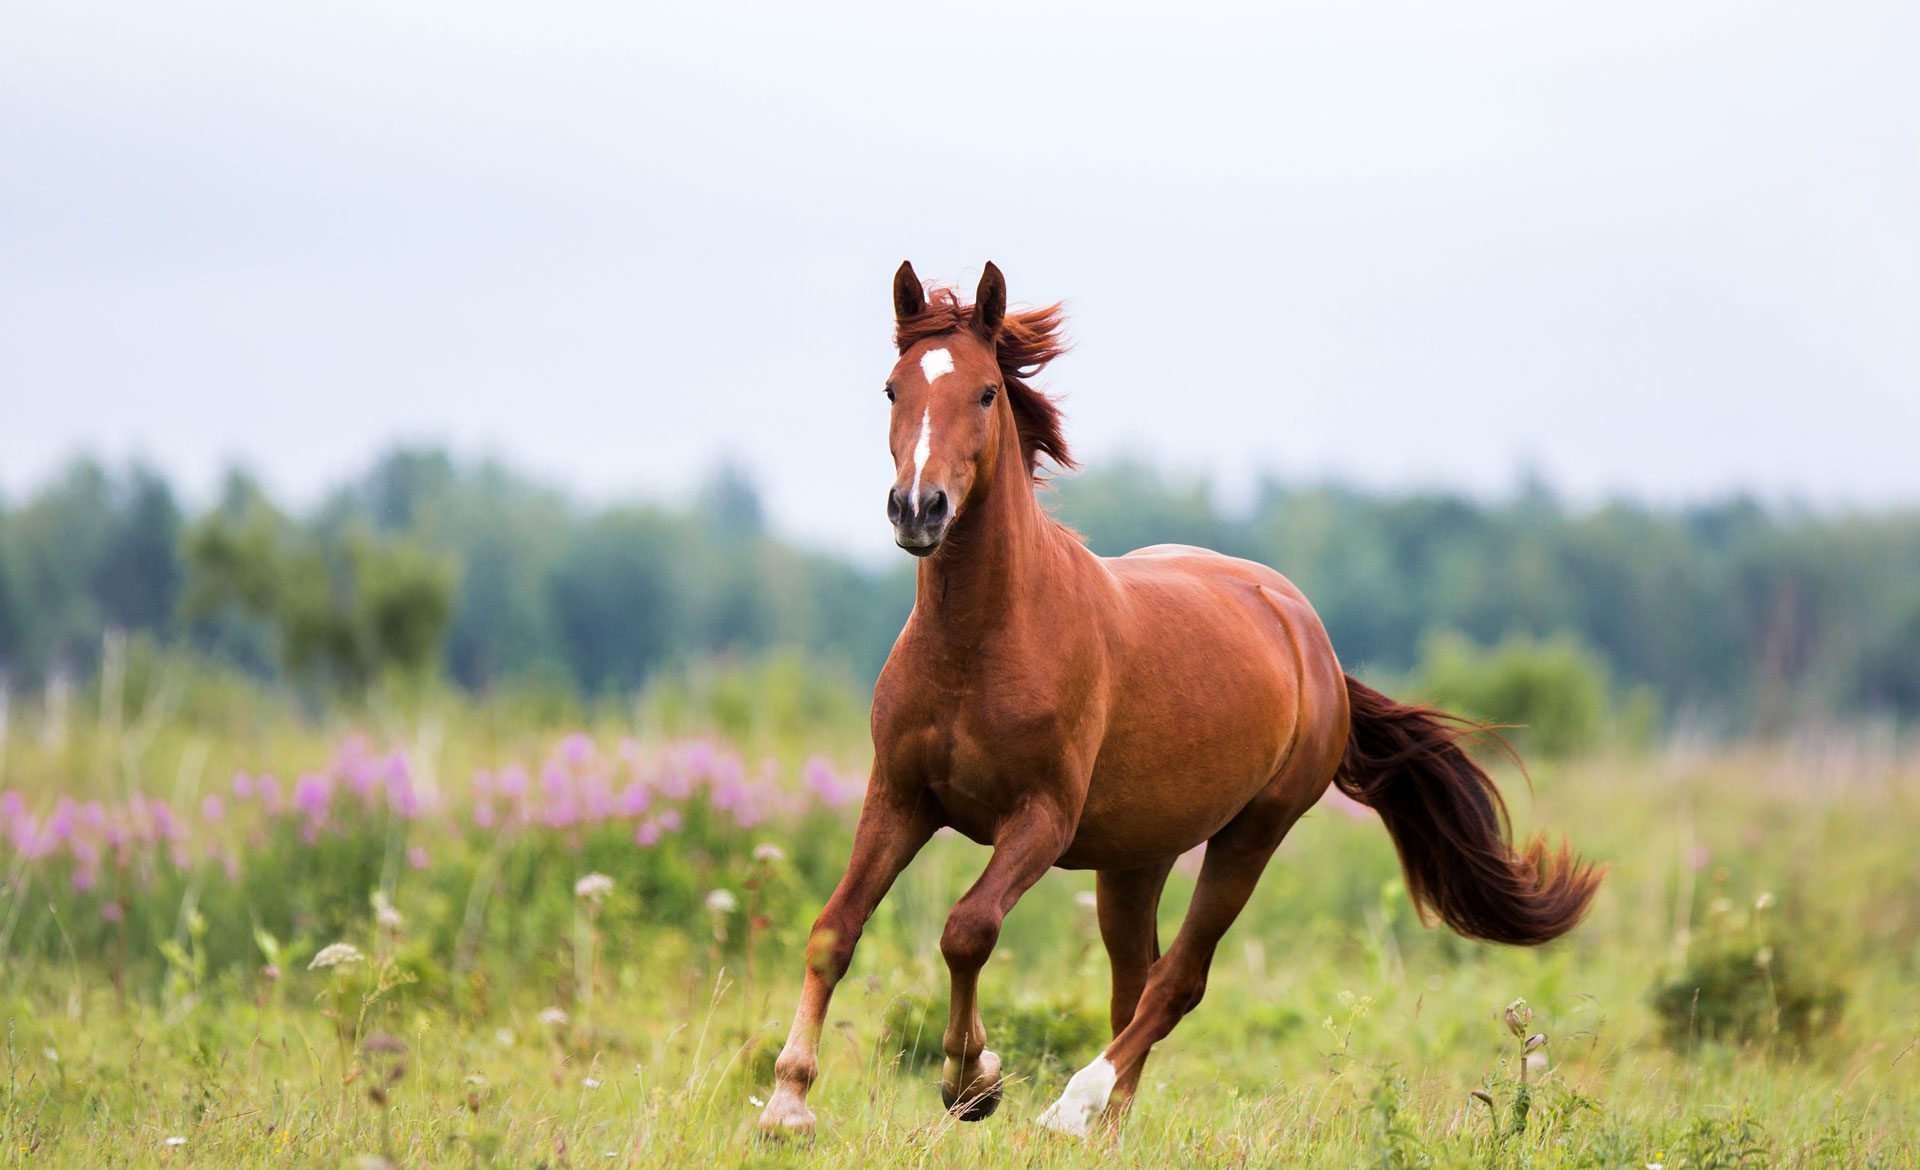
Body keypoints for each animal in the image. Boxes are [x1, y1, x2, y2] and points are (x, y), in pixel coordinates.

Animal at [757, 261, 1602, 1139]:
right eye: (894, 389)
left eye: (987, 392)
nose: (918, 509)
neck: (978, 645)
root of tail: (1312, 639)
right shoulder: (900, 796)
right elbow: (834, 929)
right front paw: (788, 1101)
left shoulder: (1040, 819)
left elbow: (968, 929)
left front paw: (971, 1081)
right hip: (1137, 857)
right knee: (1137, 980)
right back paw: (1107, 1128)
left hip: (1251, 836)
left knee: (1177, 982)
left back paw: (1073, 1107)